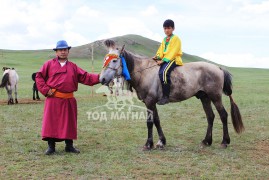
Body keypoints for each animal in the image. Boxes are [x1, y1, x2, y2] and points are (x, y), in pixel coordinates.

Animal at [99, 39, 244, 150]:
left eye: (114, 60)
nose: (102, 79)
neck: (144, 72)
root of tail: (218, 68)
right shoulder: (151, 102)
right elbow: (157, 120)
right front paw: (161, 142)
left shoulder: (150, 102)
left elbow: (150, 122)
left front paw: (148, 144)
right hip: (205, 97)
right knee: (210, 116)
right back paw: (206, 141)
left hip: (215, 96)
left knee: (223, 115)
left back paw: (225, 141)